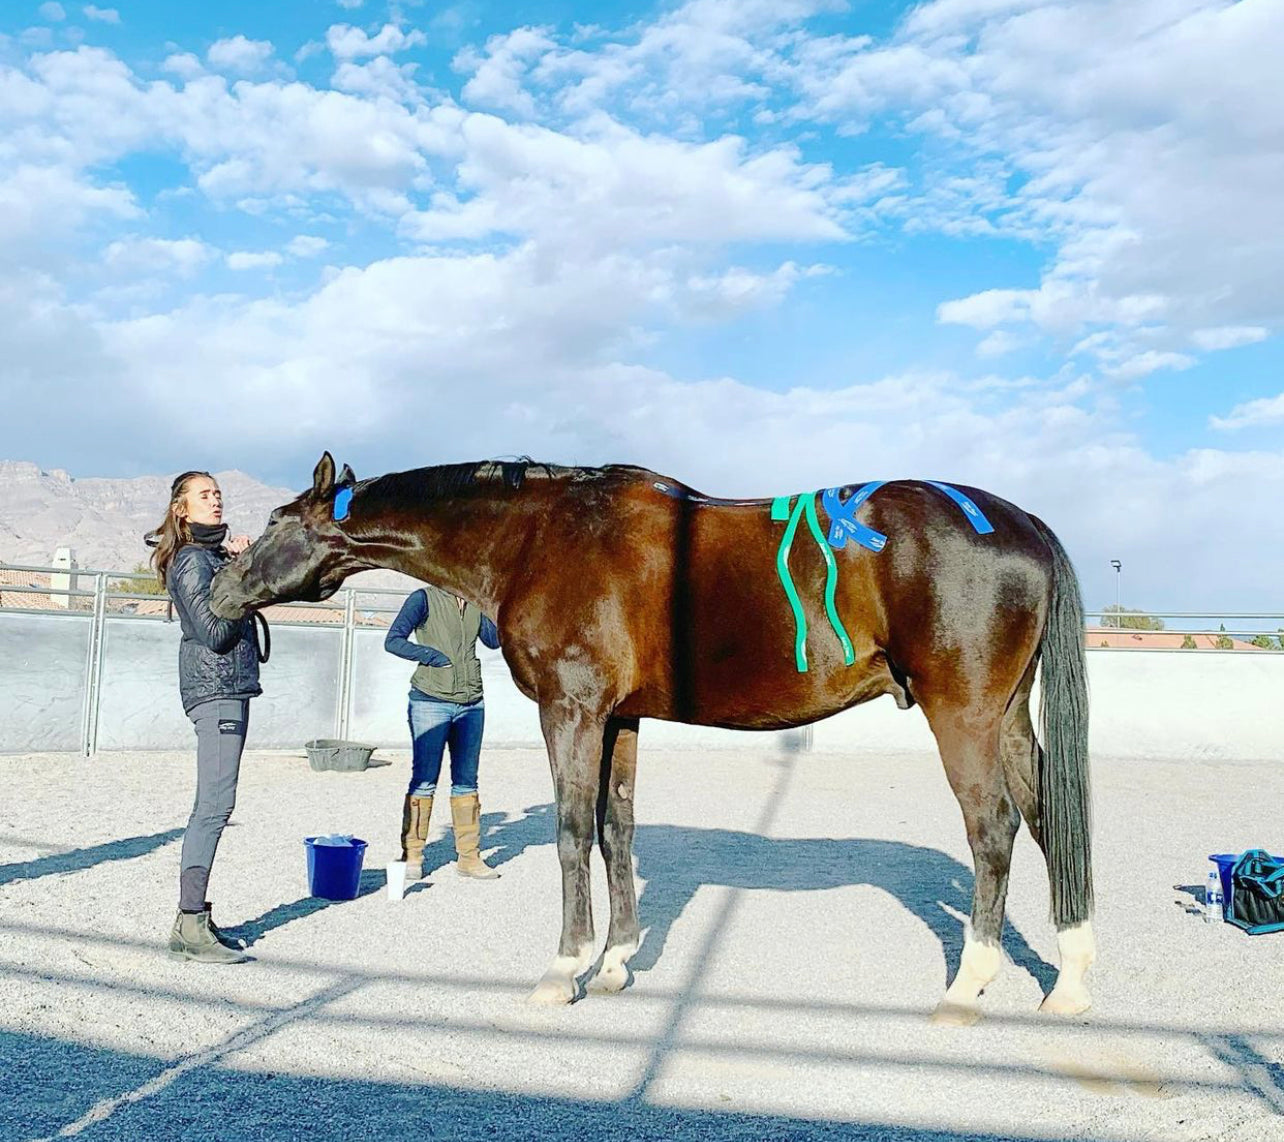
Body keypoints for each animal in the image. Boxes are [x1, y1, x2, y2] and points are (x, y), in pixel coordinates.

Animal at [210, 449, 1093, 1022]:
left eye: (274, 521)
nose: (219, 592)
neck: (537, 537)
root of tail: (1021, 523)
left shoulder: (571, 710)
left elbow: (573, 831)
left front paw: (565, 967)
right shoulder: (621, 717)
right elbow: (617, 830)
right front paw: (616, 961)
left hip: (964, 714)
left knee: (994, 830)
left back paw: (969, 985)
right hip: (1008, 718)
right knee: (1050, 822)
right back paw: (1072, 982)